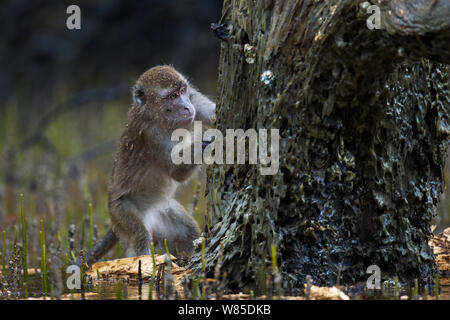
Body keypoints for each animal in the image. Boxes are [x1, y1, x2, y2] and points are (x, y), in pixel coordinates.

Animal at [85, 64, 216, 264]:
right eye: (171, 97)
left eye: (182, 91)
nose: (187, 107)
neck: (157, 116)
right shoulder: (151, 134)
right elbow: (176, 172)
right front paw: (206, 140)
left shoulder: (194, 97)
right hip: (120, 211)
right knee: (140, 236)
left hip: (163, 211)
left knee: (187, 233)